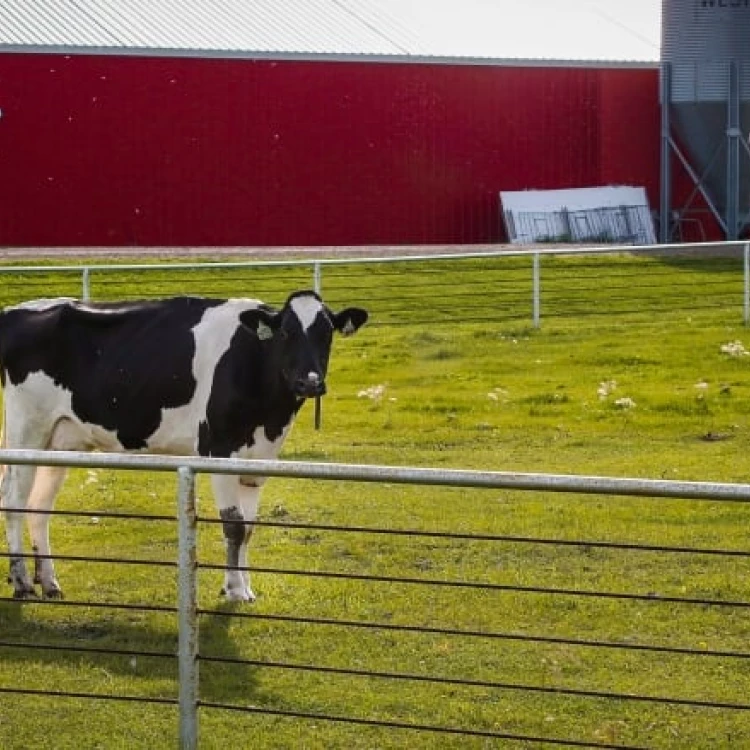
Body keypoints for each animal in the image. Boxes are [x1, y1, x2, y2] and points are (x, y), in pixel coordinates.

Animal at [0, 290, 368, 604]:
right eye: (286, 333)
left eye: (327, 333)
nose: (310, 382)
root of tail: (16, 311)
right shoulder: (219, 450)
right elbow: (234, 526)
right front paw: (235, 591)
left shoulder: (259, 460)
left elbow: (248, 528)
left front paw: (243, 587)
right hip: (26, 430)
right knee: (14, 499)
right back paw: (22, 583)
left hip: (59, 441)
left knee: (39, 506)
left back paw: (49, 583)